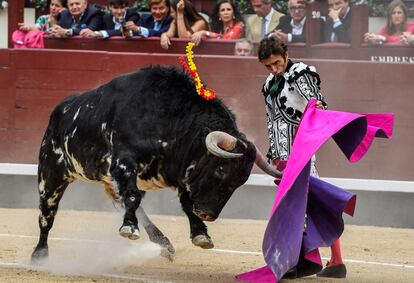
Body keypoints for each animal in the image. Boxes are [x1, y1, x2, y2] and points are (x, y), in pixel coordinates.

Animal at [29, 65, 282, 262]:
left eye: (240, 182)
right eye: (220, 170)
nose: (208, 214)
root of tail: (58, 112)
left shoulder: (182, 174)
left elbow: (185, 203)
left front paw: (201, 234)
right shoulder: (124, 162)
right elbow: (133, 196)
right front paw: (128, 228)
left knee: (133, 204)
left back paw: (163, 242)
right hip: (50, 174)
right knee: (47, 215)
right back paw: (40, 255)